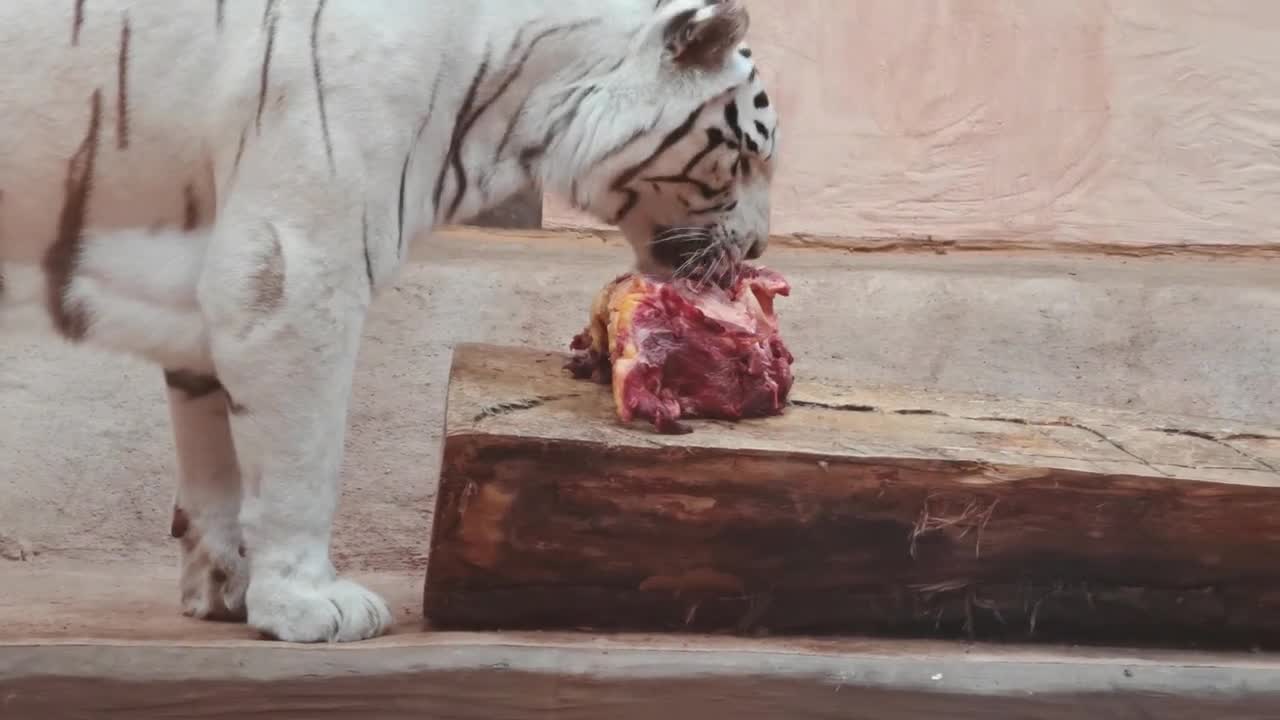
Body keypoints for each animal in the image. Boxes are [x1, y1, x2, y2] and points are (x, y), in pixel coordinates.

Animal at [0, 0, 778, 638]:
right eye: (748, 153)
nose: (758, 250)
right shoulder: (294, 269)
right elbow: (303, 462)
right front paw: (308, 605)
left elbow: (213, 455)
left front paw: (226, 588)